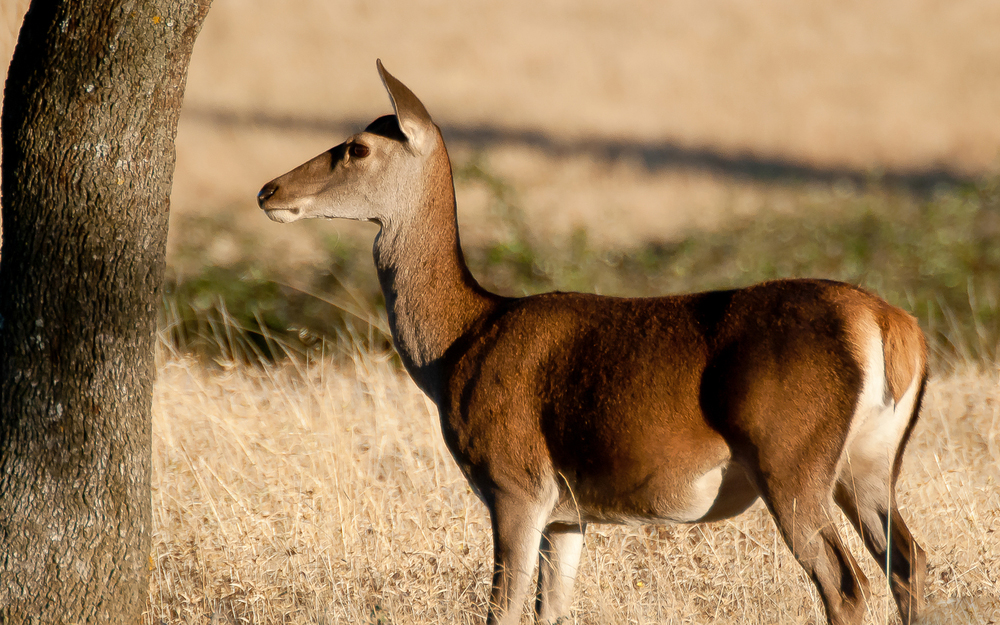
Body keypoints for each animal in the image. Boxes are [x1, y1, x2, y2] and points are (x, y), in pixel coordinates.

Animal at [258, 62, 928, 624]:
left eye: (357, 147)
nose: (269, 191)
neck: (457, 342)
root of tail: (890, 325)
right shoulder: (569, 515)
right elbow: (551, 610)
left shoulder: (515, 482)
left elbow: (501, 610)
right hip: (870, 459)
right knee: (908, 560)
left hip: (789, 455)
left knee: (845, 583)